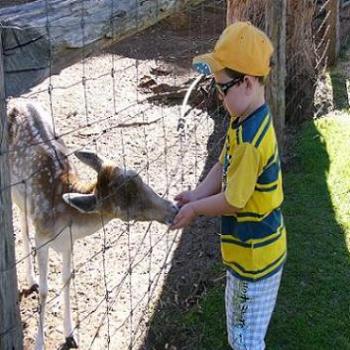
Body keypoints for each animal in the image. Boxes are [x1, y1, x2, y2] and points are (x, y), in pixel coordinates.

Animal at [7, 98, 178, 350]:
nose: (173, 209)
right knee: (23, 225)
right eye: (126, 210)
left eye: (138, 177)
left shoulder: (68, 244)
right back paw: (32, 279)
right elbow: (47, 290)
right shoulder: (43, 237)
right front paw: (39, 343)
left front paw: (71, 334)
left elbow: (66, 280)